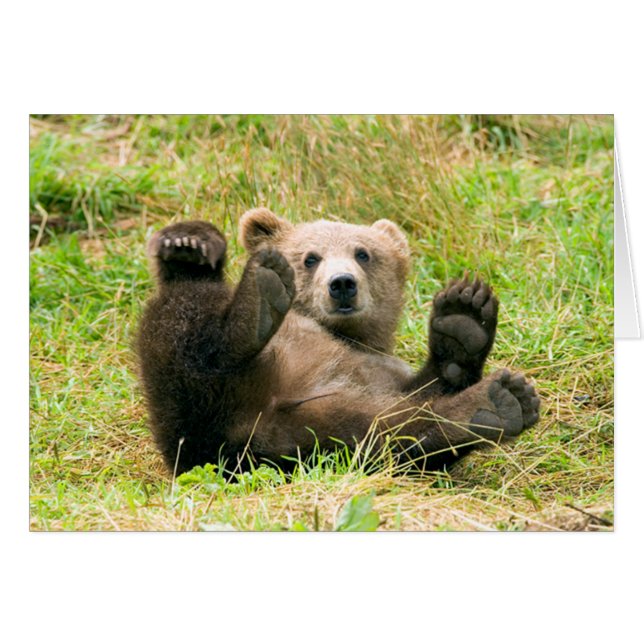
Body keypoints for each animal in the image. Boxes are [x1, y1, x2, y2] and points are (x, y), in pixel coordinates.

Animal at [136, 208, 540, 476]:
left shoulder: (378, 370)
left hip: (314, 432)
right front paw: (188, 241)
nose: (342, 283)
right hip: (190, 408)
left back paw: (495, 401)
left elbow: (424, 393)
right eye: (310, 257)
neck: (344, 335)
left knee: (390, 433)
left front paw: (463, 319)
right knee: (185, 321)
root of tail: (246, 427)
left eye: (363, 253)